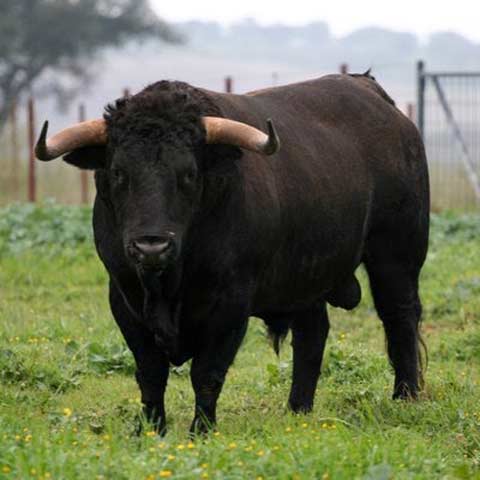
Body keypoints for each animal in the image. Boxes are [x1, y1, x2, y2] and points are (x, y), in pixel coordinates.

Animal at [37, 72, 430, 436]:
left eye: (189, 174)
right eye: (119, 172)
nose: (152, 246)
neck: (169, 286)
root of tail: (371, 90)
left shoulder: (230, 304)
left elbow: (207, 373)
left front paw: (201, 431)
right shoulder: (124, 298)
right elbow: (150, 373)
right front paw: (151, 430)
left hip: (396, 255)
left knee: (399, 317)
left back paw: (406, 396)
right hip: (306, 275)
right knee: (312, 333)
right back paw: (298, 410)